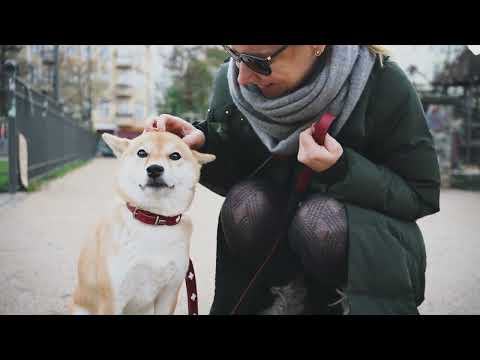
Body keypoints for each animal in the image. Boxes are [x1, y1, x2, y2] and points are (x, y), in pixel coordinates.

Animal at [70, 131, 215, 314]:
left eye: (175, 156)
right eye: (141, 153)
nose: (154, 169)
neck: (153, 220)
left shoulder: (168, 294)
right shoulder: (113, 299)